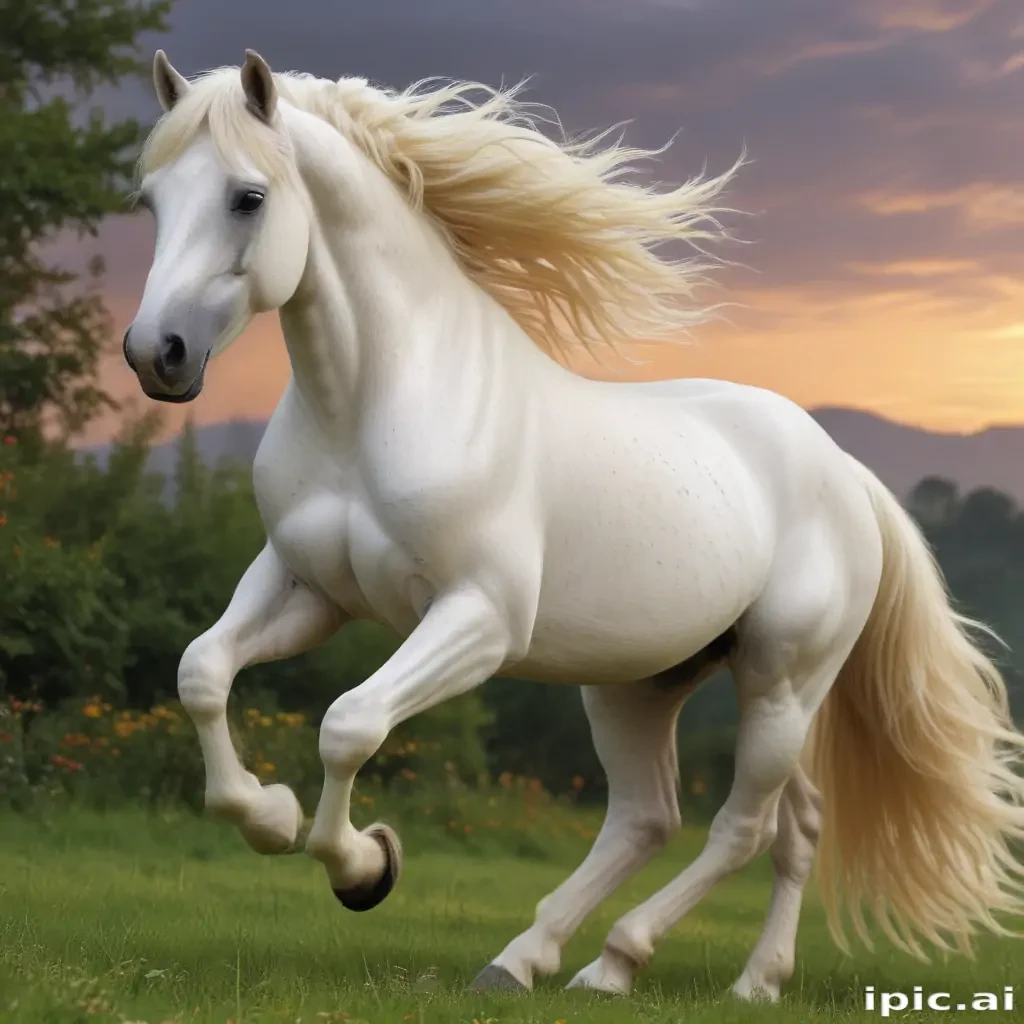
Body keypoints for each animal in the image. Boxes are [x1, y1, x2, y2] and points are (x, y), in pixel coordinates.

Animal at [122, 48, 1024, 998]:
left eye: (248, 197)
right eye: (151, 200)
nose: (157, 355)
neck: (370, 408)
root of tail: (845, 473)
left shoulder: (479, 619)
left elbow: (349, 724)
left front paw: (365, 867)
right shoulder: (305, 591)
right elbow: (201, 673)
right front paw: (269, 815)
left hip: (783, 681)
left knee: (743, 826)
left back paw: (628, 962)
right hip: (641, 684)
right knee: (687, 820)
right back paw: (563, 964)